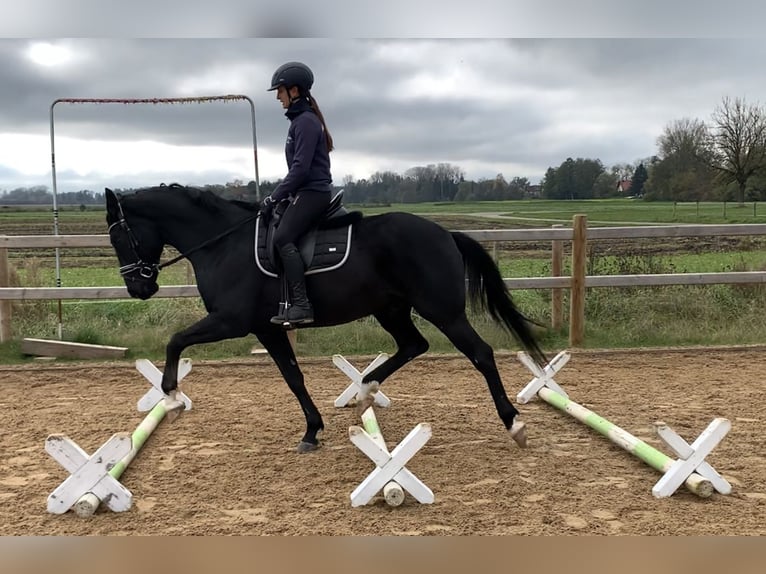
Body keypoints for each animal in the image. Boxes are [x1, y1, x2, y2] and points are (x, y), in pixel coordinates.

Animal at [105, 184, 548, 454]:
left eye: (119, 236)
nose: (138, 288)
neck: (222, 244)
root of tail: (444, 233)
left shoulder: (231, 321)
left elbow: (176, 341)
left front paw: (171, 398)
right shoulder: (266, 328)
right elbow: (293, 377)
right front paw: (312, 430)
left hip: (443, 311)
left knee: (480, 353)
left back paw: (513, 423)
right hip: (391, 309)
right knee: (413, 344)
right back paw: (366, 390)